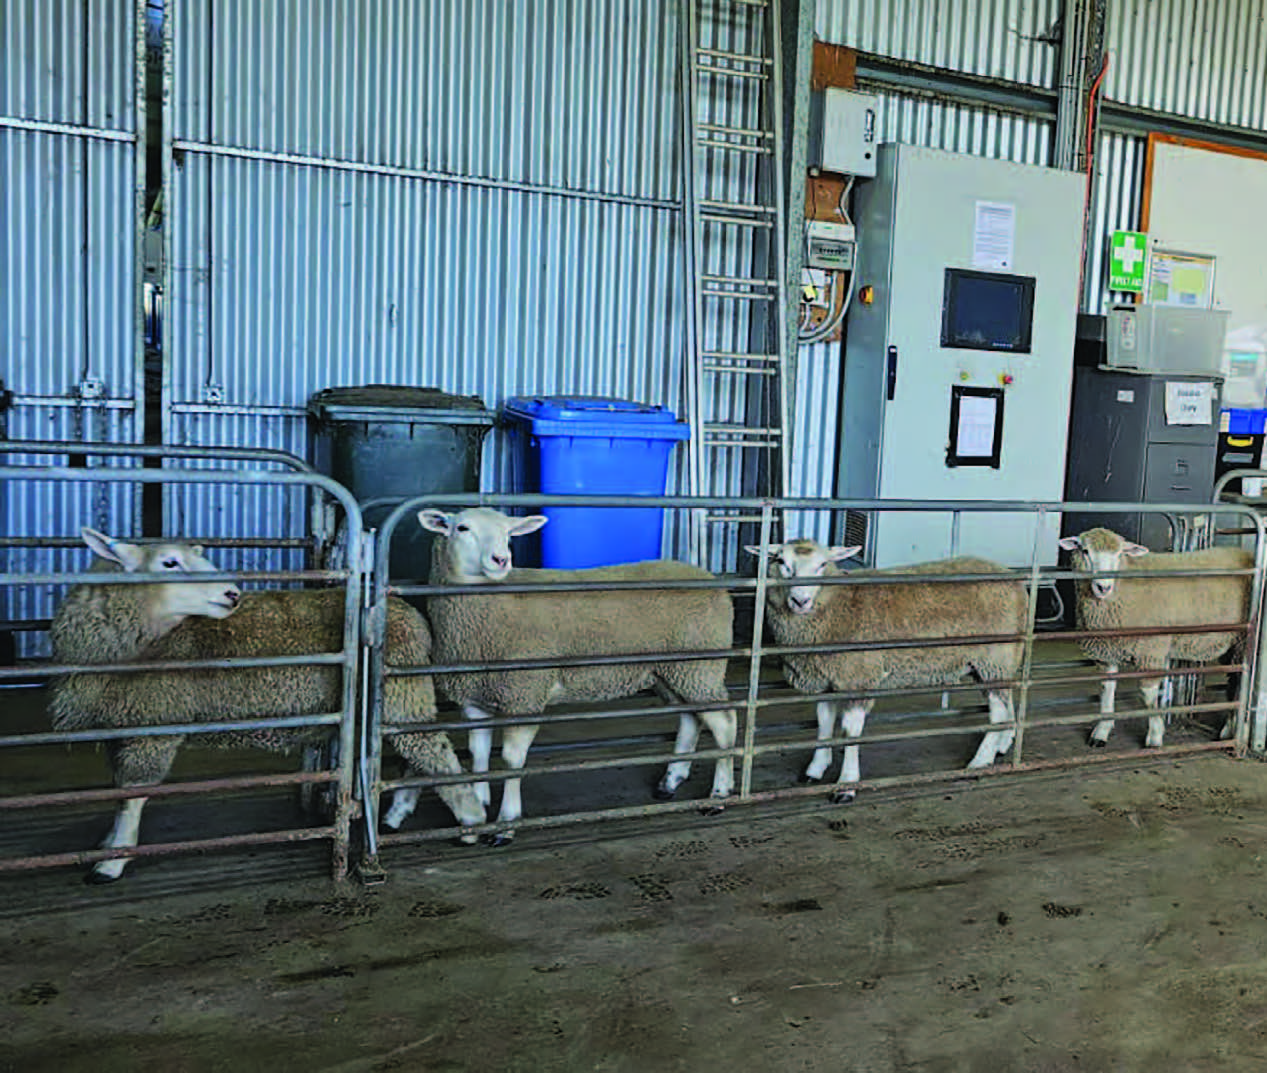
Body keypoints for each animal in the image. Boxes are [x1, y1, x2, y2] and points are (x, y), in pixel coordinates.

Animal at [50, 527, 485, 883]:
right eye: (169, 562)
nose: (232, 593)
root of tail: (403, 609)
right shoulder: (121, 726)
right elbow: (117, 792)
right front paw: (109, 844)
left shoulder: (154, 726)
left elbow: (132, 797)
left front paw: (112, 862)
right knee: (418, 749)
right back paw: (401, 812)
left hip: (401, 691)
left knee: (433, 750)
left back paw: (470, 821)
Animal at [380, 506, 737, 843]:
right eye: (462, 528)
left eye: (508, 532)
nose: (501, 559)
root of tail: (712, 581)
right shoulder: (475, 698)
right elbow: (478, 753)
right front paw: (479, 808)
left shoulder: (524, 695)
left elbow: (511, 760)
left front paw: (506, 824)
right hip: (674, 671)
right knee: (691, 717)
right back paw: (671, 780)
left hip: (701, 666)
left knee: (724, 722)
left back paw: (719, 794)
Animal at [746, 539, 1027, 801]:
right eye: (781, 561)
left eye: (822, 564)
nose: (800, 601)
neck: (838, 605)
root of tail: (1015, 581)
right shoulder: (827, 677)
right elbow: (824, 723)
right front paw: (815, 769)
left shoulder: (858, 676)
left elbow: (850, 732)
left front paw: (846, 784)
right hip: (994, 662)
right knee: (1006, 699)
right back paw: (1003, 743)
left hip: (995, 657)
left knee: (998, 712)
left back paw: (980, 761)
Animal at [1057, 527, 1253, 748]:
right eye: (1085, 551)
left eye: (1119, 553)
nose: (1103, 587)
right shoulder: (1107, 650)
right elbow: (1106, 690)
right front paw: (1101, 732)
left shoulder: (1150, 649)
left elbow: (1148, 694)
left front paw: (1155, 737)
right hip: (1232, 641)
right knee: (1234, 681)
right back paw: (1229, 730)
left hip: (1244, 639)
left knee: (1240, 682)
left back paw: (1233, 732)